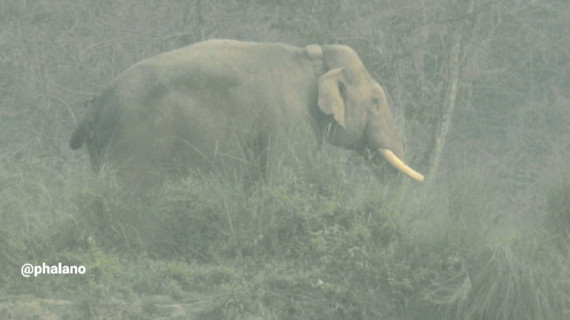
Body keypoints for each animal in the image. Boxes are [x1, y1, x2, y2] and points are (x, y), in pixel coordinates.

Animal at [69, 38, 422, 186]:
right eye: (376, 101)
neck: (313, 57)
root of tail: (94, 105)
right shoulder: (290, 121)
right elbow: (287, 175)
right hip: (133, 139)